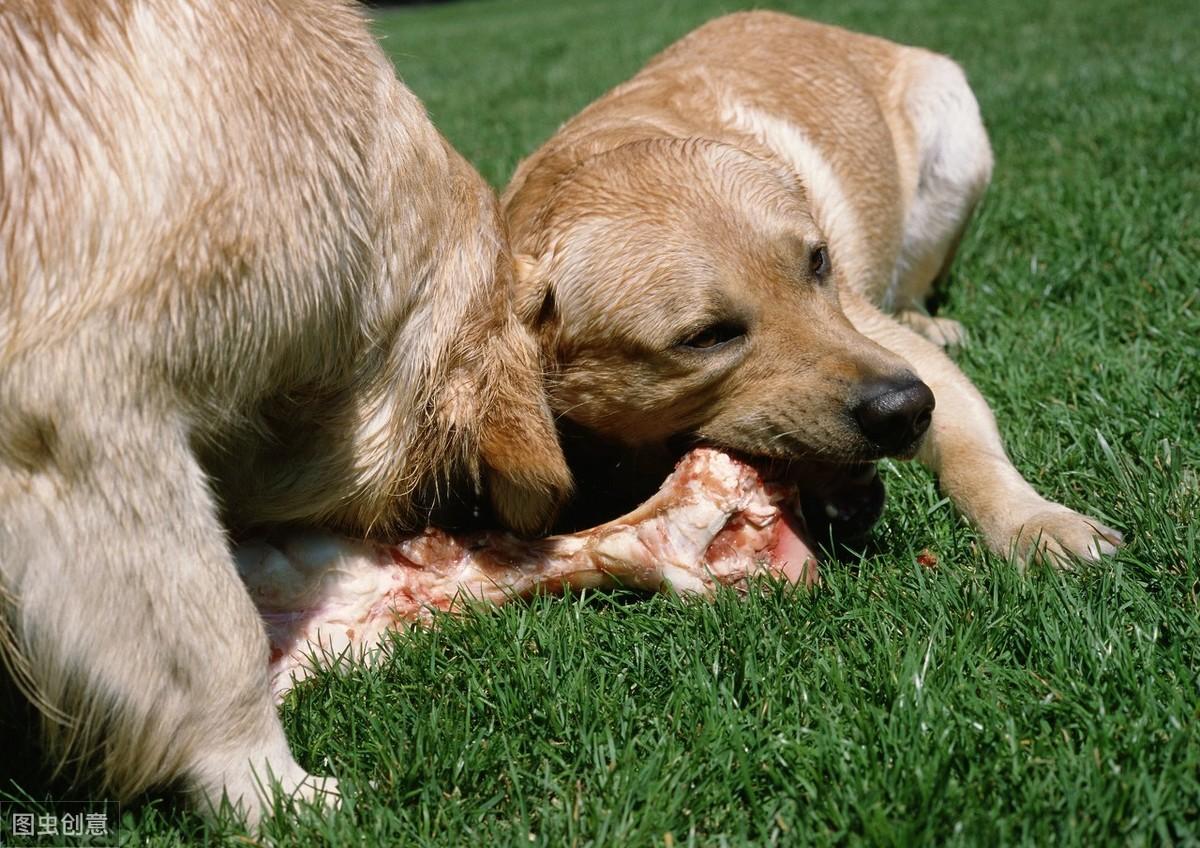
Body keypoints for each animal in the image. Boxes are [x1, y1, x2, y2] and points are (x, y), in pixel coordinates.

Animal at [501, 11, 1118, 563]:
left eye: (819, 261)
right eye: (705, 338)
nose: (906, 409)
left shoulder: (903, 354)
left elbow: (973, 452)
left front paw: (1037, 522)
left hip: (955, 145)